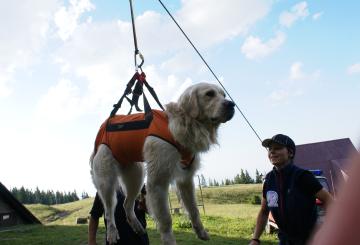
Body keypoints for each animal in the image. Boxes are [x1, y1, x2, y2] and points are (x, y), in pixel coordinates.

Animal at [91, 83, 235, 244]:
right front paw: (169, 240)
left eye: (223, 95)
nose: (232, 104)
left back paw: (137, 226)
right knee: (109, 211)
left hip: (136, 177)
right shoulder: (158, 181)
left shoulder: (186, 179)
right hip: (107, 181)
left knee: (126, 204)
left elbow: (194, 210)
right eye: (209, 94)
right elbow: (166, 220)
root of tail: (103, 127)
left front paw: (201, 232)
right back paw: (111, 233)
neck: (183, 124)